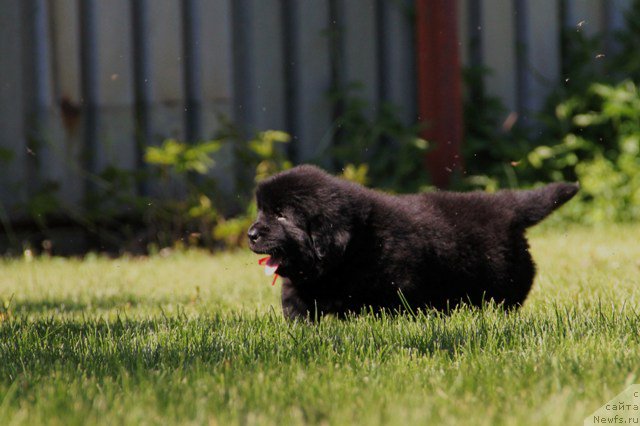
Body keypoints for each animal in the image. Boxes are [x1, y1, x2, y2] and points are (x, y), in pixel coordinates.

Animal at [248, 166, 576, 320]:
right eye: (261, 210)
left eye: (281, 214)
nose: (251, 234)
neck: (355, 245)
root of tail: (505, 205)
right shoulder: (300, 289)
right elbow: (296, 309)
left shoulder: (397, 287)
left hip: (505, 281)